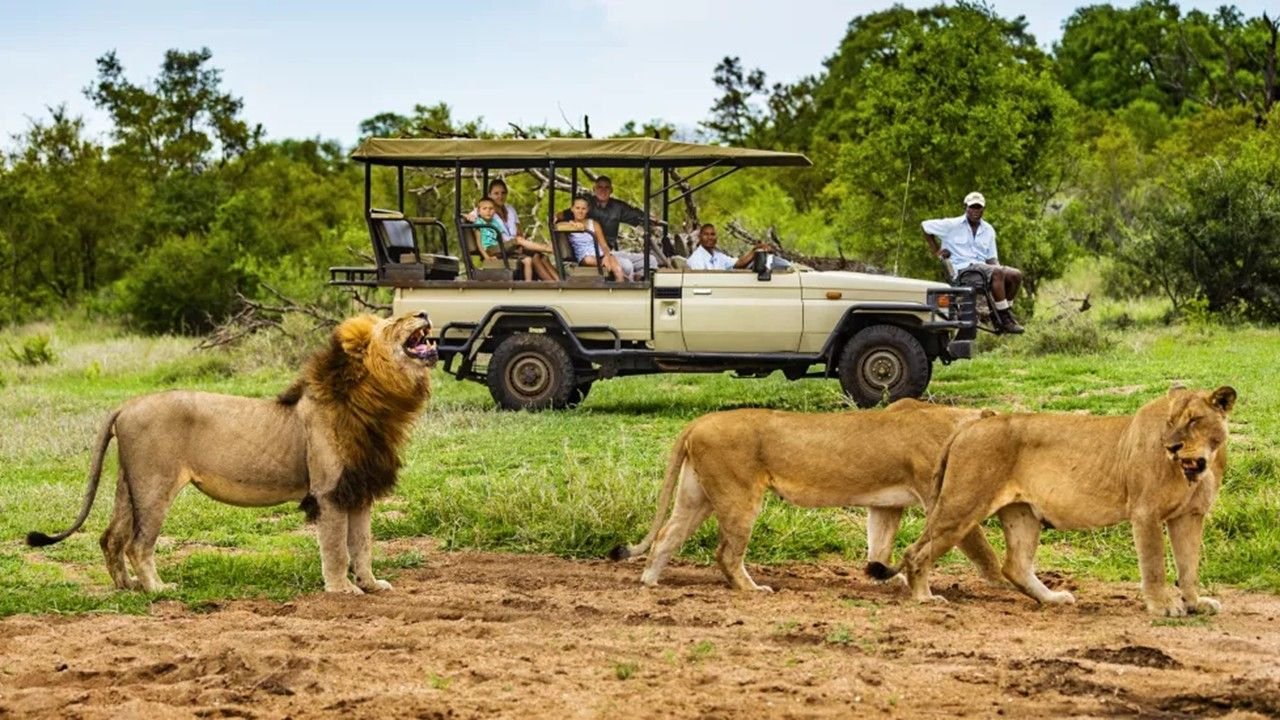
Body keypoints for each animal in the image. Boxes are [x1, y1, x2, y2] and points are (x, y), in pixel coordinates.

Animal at [26, 312, 437, 595]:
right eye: (395, 321)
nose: (423, 313)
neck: (377, 400)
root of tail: (127, 404)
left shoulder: (358, 489)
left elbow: (363, 544)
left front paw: (371, 584)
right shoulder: (329, 493)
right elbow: (337, 548)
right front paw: (342, 589)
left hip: (130, 485)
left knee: (111, 537)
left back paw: (127, 588)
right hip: (155, 485)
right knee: (137, 544)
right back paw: (157, 589)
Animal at [609, 399, 1004, 591]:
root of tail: (698, 422)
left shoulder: (885, 505)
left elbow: (879, 547)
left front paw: (890, 576)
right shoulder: (941, 500)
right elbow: (981, 548)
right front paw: (1002, 582)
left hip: (697, 495)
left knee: (667, 536)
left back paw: (650, 582)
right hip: (738, 495)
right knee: (725, 553)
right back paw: (752, 589)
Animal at [868, 385, 1236, 617]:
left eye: (1194, 420)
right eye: (1170, 422)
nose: (1171, 446)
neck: (1198, 467)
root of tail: (968, 426)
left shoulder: (1191, 516)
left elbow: (1189, 566)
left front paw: (1195, 602)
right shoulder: (1145, 513)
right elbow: (1155, 565)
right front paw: (1164, 606)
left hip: (1022, 514)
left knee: (1015, 566)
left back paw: (1053, 599)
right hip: (962, 505)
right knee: (916, 552)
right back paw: (925, 598)